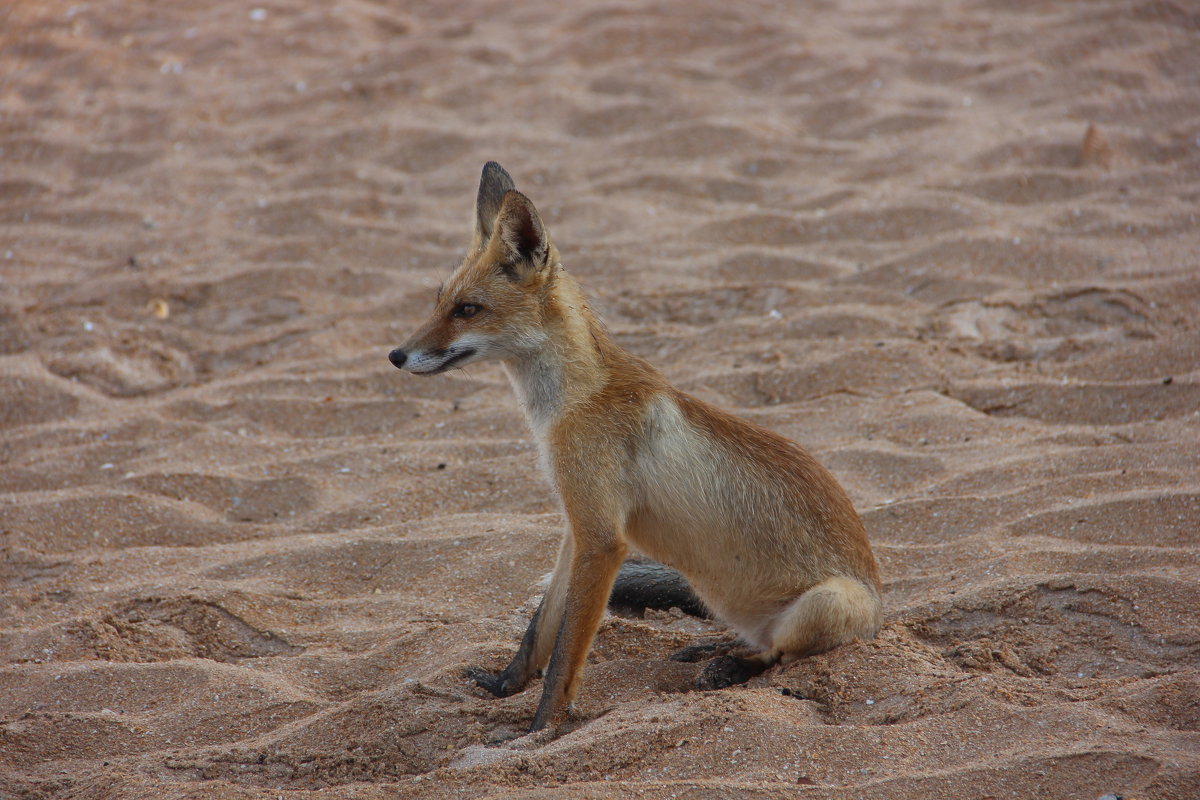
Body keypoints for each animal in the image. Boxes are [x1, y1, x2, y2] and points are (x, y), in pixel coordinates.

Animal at [388, 163, 888, 734]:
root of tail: (882, 611)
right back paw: (714, 648)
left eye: (467, 309)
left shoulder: (603, 540)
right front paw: (505, 686)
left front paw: (541, 731)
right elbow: (540, 628)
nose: (396, 355)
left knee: (778, 655)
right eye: (439, 301)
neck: (568, 403)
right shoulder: (577, 525)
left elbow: (564, 659)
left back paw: (730, 666)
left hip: (826, 602)